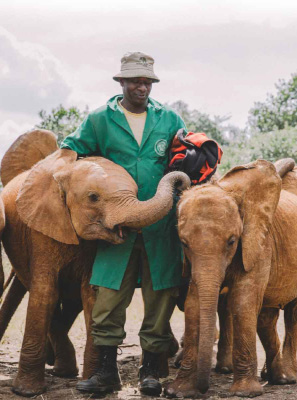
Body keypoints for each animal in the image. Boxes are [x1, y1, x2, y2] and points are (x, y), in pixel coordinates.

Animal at [165, 159, 297, 396]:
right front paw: (178, 391)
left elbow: (242, 302)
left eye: (232, 241)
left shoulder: (258, 244)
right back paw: (276, 377)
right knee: (266, 317)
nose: (204, 388)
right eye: (184, 244)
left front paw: (245, 392)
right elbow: (194, 305)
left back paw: (288, 378)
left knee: (292, 313)